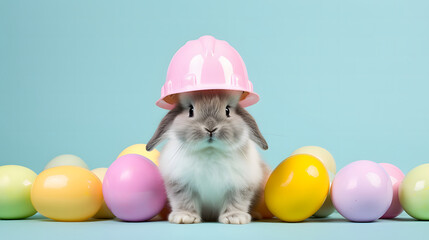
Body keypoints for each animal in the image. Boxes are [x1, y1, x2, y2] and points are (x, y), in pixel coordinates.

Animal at [147, 90, 268, 225]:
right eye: (191, 110)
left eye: (227, 110)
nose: (210, 128)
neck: (210, 152)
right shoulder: (181, 184)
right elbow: (184, 201)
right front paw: (184, 217)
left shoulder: (240, 185)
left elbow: (236, 202)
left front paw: (234, 218)